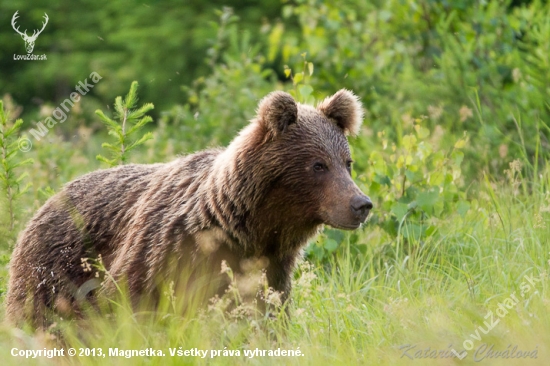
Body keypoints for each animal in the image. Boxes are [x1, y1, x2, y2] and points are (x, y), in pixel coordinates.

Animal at [4, 89, 374, 328]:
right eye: (318, 165)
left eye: (347, 162)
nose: (361, 204)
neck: (245, 228)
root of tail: (49, 199)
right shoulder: (164, 254)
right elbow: (131, 306)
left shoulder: (270, 268)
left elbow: (266, 314)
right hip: (54, 270)